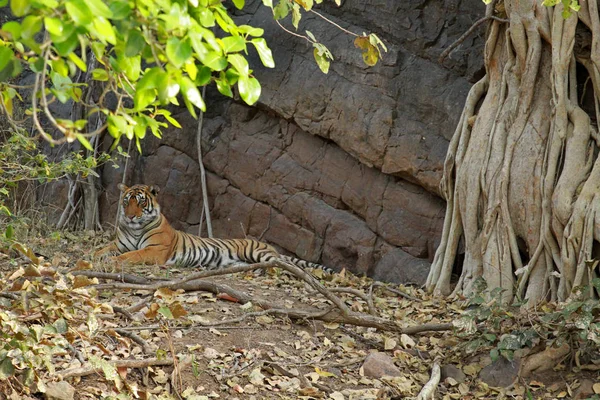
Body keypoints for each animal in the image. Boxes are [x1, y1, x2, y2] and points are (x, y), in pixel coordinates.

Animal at [96, 183, 336, 274]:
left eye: (140, 202)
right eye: (126, 202)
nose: (130, 216)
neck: (135, 229)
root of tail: (270, 246)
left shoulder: (155, 250)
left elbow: (131, 256)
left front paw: (113, 262)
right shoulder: (118, 244)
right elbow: (101, 250)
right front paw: (93, 256)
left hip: (258, 252)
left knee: (285, 264)